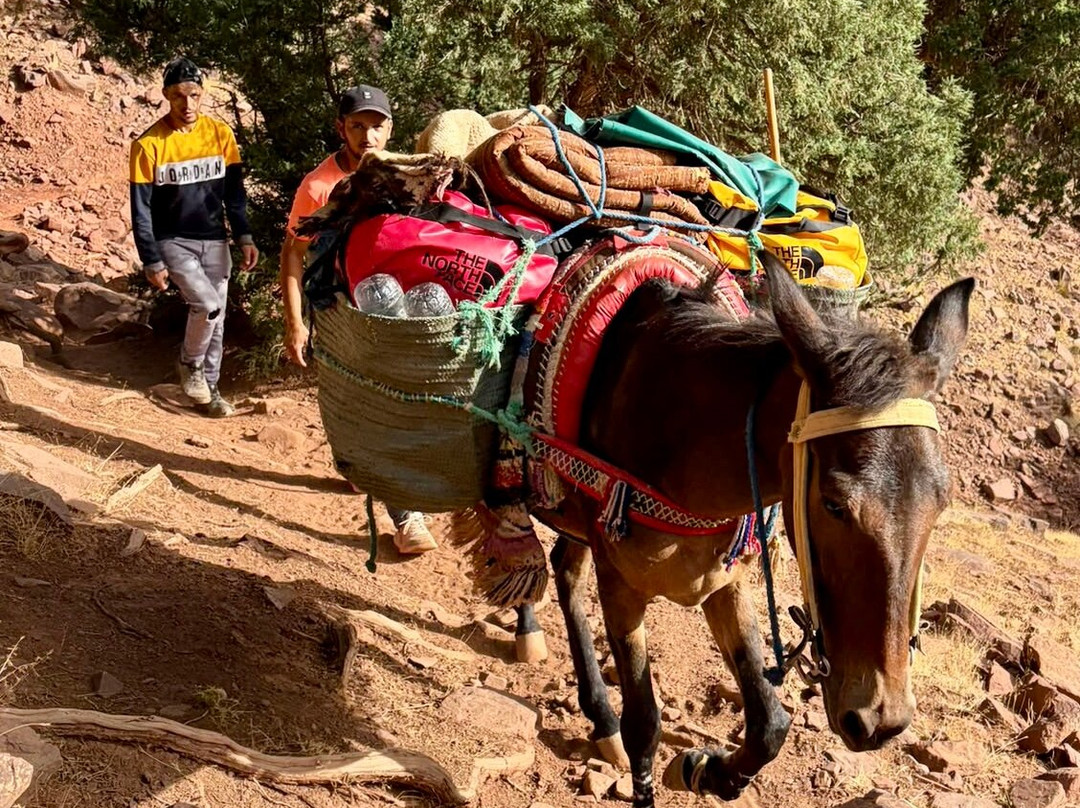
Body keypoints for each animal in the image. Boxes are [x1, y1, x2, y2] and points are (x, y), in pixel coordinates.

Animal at [526, 253, 974, 807]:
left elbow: (770, 724)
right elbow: (644, 726)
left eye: (940, 503)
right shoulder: (621, 588)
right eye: (833, 503)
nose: (879, 721)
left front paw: (706, 771)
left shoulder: (726, 579)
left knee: (562, 569)